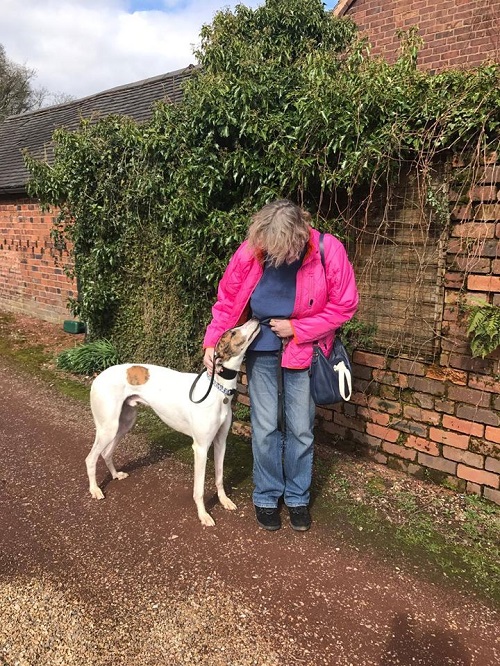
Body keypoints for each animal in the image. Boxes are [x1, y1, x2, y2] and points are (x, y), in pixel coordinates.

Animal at [85, 316, 262, 524]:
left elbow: (219, 477)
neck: (217, 389)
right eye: (233, 332)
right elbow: (199, 489)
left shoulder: (220, 442)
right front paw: (203, 515)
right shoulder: (201, 447)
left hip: (124, 423)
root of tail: (99, 376)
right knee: (91, 458)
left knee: (106, 453)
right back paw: (95, 490)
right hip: (108, 427)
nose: (255, 317)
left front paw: (224, 501)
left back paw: (115, 475)